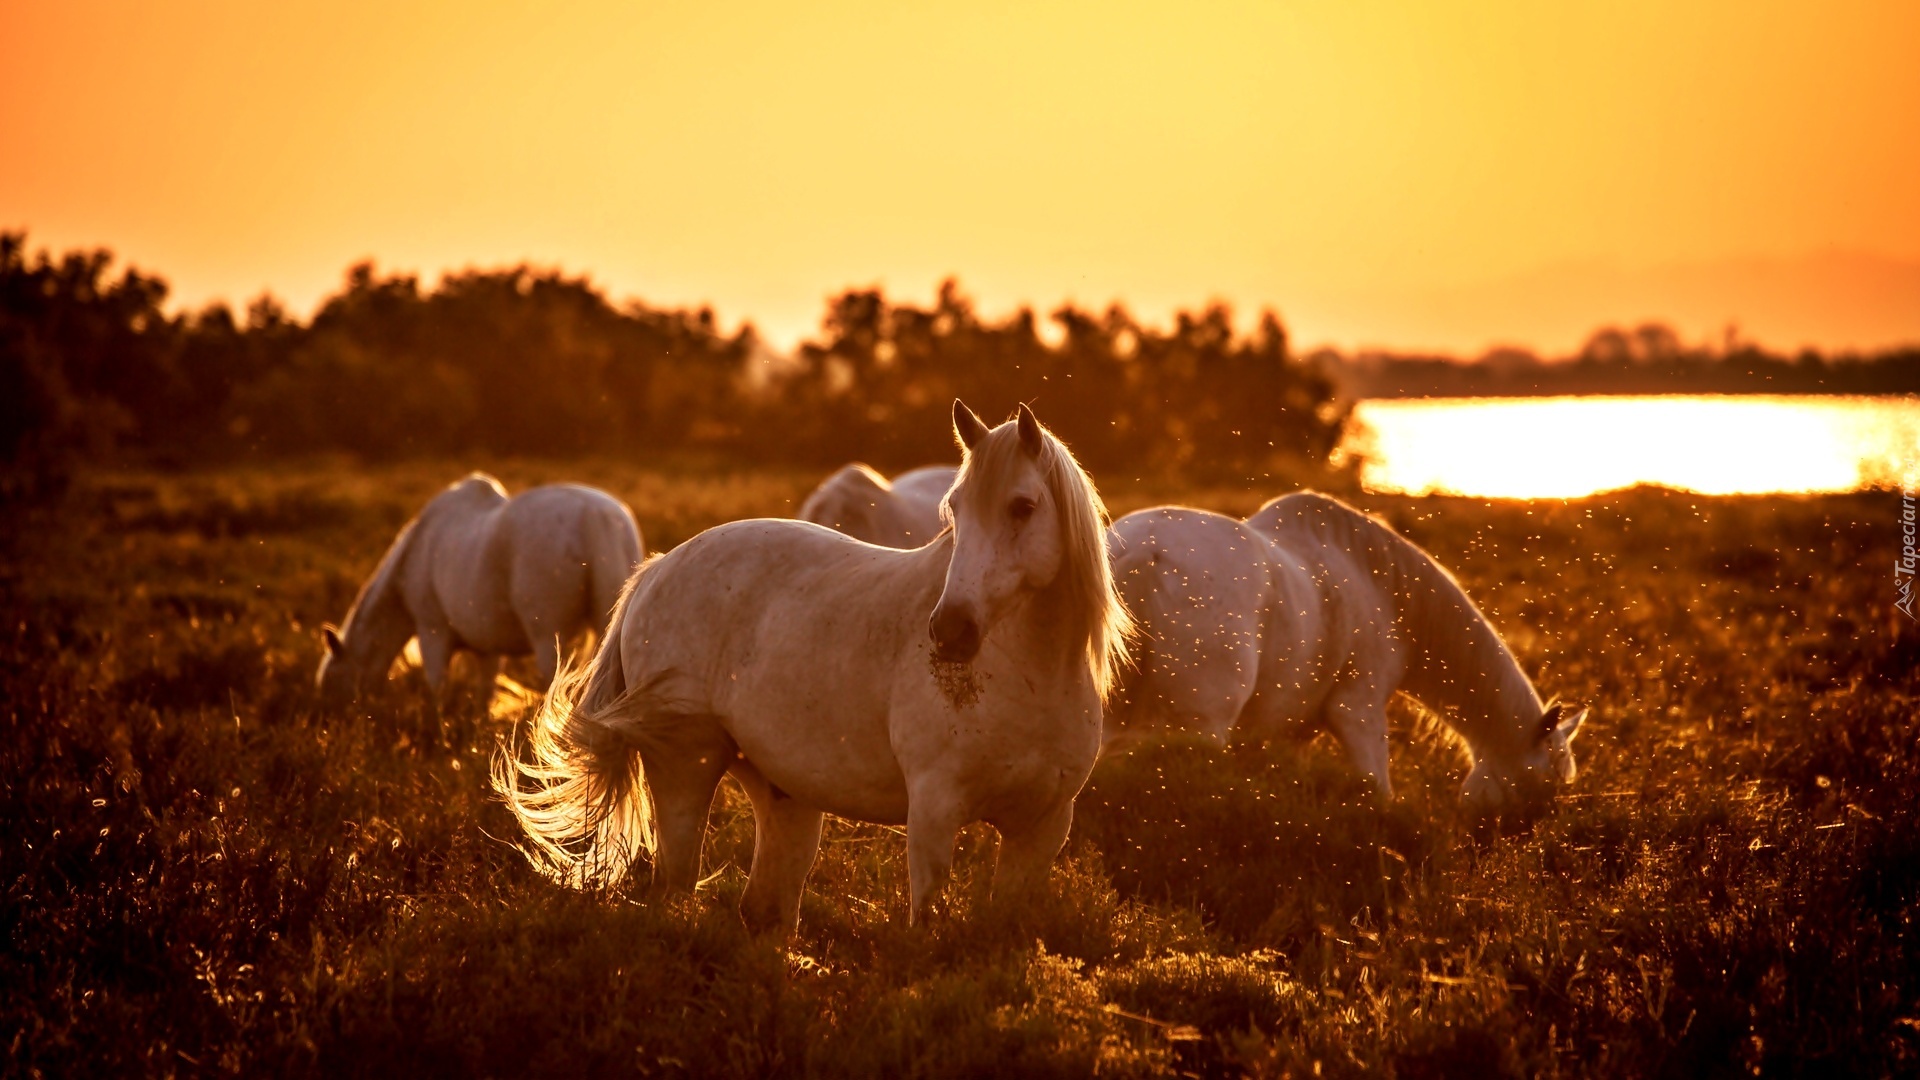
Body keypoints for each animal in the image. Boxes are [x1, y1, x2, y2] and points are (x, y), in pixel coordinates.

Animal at [314, 474, 645, 703]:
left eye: (331, 681)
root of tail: (596, 517)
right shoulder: (489, 650)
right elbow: (484, 696)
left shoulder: (432, 632)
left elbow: (436, 688)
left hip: (547, 637)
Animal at [1113, 491, 1589, 810]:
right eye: (1540, 785)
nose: (1506, 853)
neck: (1381, 584)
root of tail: (1143, 552)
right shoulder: (1358, 711)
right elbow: (1377, 789)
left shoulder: (1290, 737)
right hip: (1199, 729)